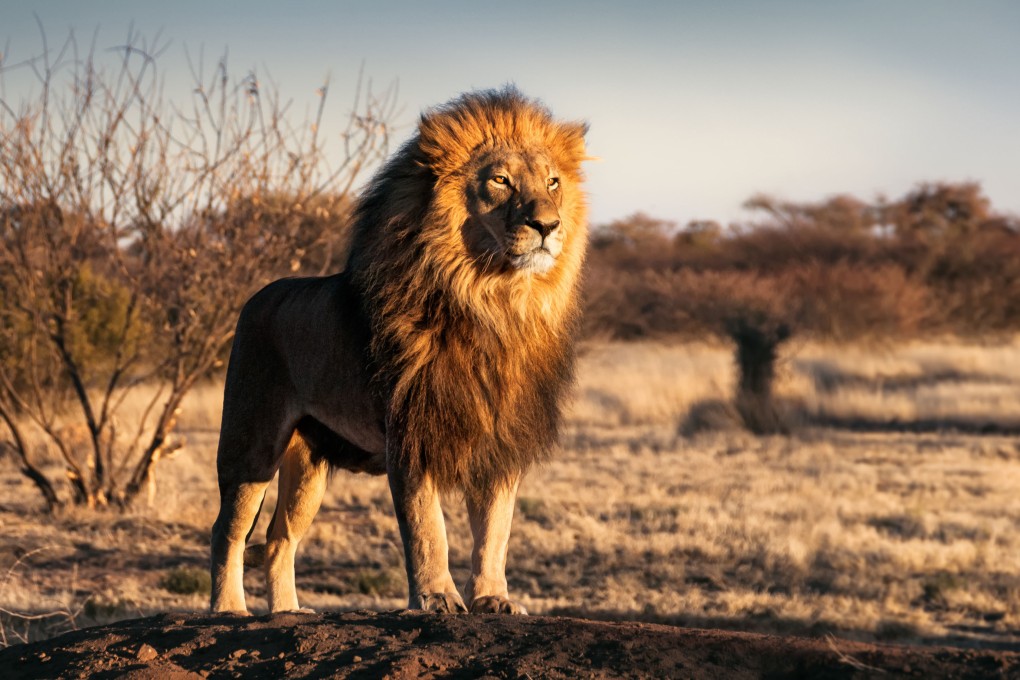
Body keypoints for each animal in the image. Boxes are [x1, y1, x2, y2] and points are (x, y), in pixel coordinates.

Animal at [210, 88, 590, 615]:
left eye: (553, 182)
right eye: (500, 180)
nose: (548, 225)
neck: (493, 303)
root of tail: (257, 296)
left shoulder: (500, 440)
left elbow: (495, 530)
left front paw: (493, 598)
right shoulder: (410, 432)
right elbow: (428, 528)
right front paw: (437, 598)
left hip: (308, 464)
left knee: (279, 537)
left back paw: (288, 611)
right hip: (251, 443)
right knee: (227, 529)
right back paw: (228, 609)